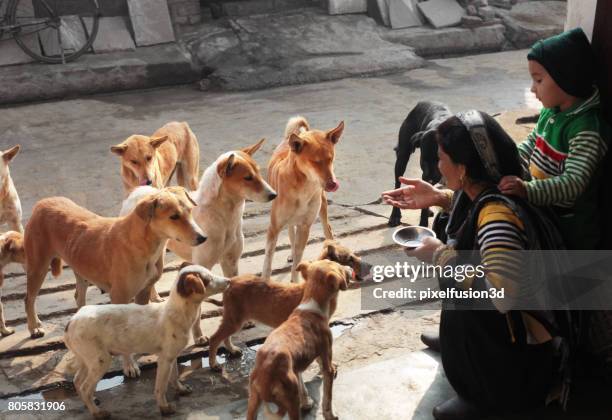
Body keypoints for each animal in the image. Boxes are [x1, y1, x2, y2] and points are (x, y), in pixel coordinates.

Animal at [24, 187, 206, 352]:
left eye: (190, 211)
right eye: (174, 216)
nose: (203, 237)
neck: (143, 242)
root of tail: (43, 202)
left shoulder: (144, 291)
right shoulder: (119, 296)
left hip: (80, 266)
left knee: (78, 296)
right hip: (38, 267)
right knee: (29, 299)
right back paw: (34, 327)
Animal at [65, 264, 230, 418]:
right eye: (208, 279)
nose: (229, 280)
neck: (177, 312)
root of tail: (71, 322)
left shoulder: (171, 356)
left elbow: (174, 377)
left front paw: (181, 389)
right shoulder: (164, 359)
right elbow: (160, 387)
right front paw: (164, 408)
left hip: (87, 359)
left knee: (77, 381)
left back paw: (90, 402)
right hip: (101, 360)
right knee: (85, 387)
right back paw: (97, 413)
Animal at [207, 240, 372, 370]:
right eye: (350, 259)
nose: (370, 266)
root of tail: (230, 283)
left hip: (233, 318)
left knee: (225, 337)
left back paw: (232, 351)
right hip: (234, 319)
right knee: (214, 338)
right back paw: (214, 364)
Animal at [244, 260, 350, 420]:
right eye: (338, 266)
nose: (349, 268)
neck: (311, 305)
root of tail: (266, 372)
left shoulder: (298, 367)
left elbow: (303, 384)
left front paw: (307, 402)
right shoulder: (327, 364)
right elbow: (327, 398)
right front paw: (330, 415)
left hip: (253, 401)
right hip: (291, 399)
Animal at [262, 115, 344, 282]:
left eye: (331, 159)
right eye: (315, 162)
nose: (333, 184)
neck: (304, 187)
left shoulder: (305, 226)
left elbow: (298, 263)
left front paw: (295, 281)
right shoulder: (274, 228)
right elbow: (268, 262)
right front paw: (264, 281)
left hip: (322, 207)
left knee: (327, 229)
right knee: (291, 233)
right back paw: (291, 253)